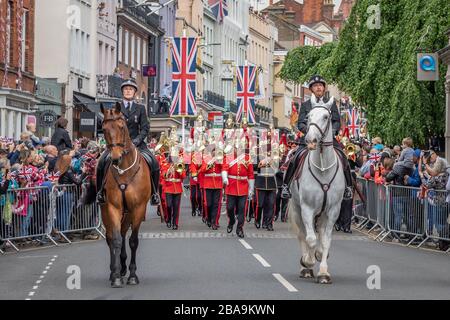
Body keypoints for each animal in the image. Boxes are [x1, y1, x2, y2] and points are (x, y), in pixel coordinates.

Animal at [99, 102, 150, 288]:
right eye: (103, 128)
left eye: (122, 126)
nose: (115, 158)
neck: (124, 170)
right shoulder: (113, 207)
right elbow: (115, 240)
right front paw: (116, 277)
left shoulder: (138, 208)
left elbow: (133, 241)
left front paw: (132, 275)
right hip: (107, 210)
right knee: (112, 236)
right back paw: (115, 270)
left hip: (128, 213)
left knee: (122, 232)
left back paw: (123, 267)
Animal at [288, 95, 344, 284]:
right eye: (308, 117)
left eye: (326, 117)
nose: (311, 140)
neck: (323, 167)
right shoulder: (307, 208)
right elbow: (310, 239)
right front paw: (308, 261)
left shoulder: (333, 210)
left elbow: (325, 241)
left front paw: (323, 272)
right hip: (297, 209)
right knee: (303, 234)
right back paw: (305, 266)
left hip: (322, 214)